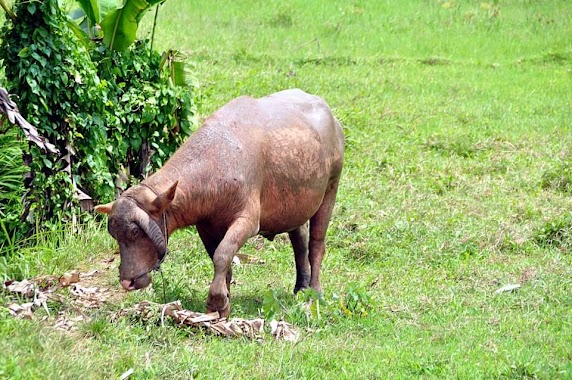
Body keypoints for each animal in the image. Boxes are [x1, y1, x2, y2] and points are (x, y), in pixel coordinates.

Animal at [95, 89, 344, 318]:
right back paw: (301, 287)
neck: (217, 165)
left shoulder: (247, 221)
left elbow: (223, 254)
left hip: (331, 187)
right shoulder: (205, 227)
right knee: (299, 241)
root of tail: (333, 120)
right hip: (295, 206)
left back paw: (315, 291)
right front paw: (225, 299)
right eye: (115, 235)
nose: (127, 281)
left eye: (136, 231)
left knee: (316, 245)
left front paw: (216, 302)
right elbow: (221, 260)